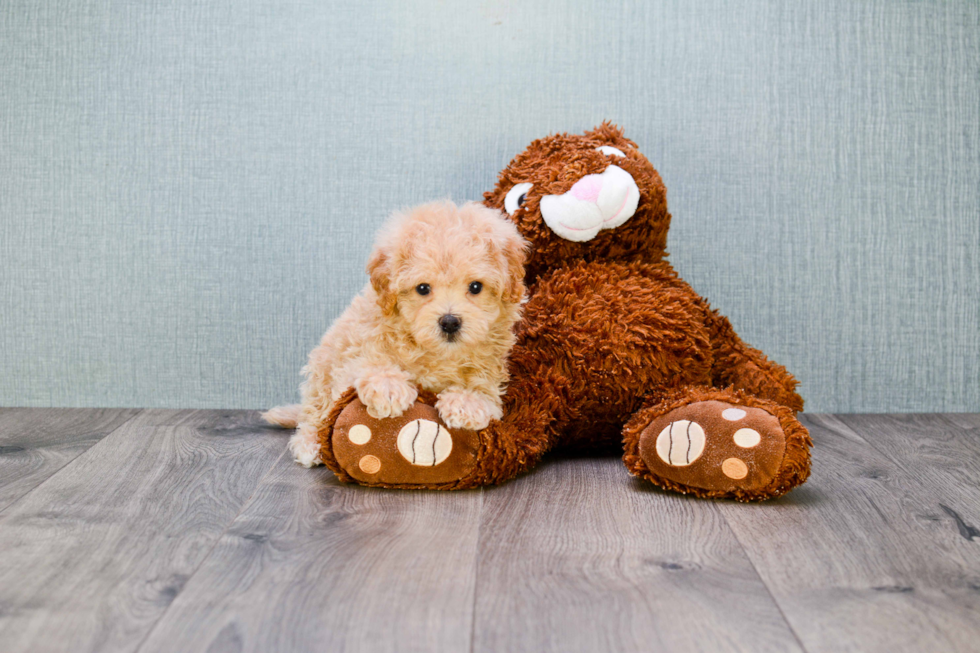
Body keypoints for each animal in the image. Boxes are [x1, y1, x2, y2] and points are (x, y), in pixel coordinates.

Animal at [264, 201, 528, 466]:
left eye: (475, 287)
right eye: (423, 288)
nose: (450, 322)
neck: (438, 354)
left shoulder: (491, 368)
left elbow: (484, 389)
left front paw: (466, 403)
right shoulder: (357, 348)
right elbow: (365, 365)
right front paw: (388, 387)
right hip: (322, 368)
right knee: (315, 413)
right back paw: (309, 443)